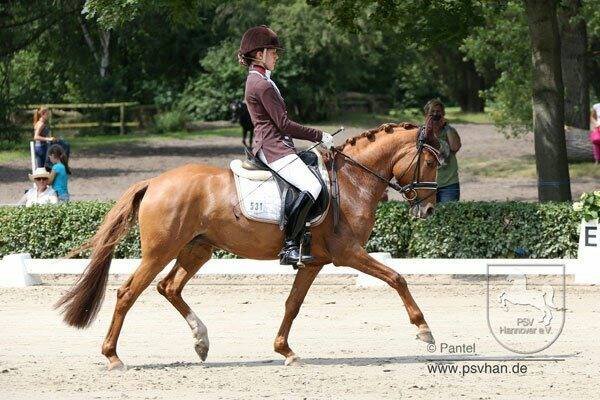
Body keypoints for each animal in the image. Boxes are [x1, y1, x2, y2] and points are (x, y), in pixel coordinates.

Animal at [56, 122, 440, 368]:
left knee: (169, 287)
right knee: (128, 293)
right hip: (160, 251)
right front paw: (424, 330)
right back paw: (113, 357)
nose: (428, 209)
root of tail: (154, 181)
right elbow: (396, 278)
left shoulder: (314, 261)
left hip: (197, 249)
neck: (351, 180)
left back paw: (201, 341)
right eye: (431, 162)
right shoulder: (347, 253)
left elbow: (292, 304)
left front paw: (285, 351)